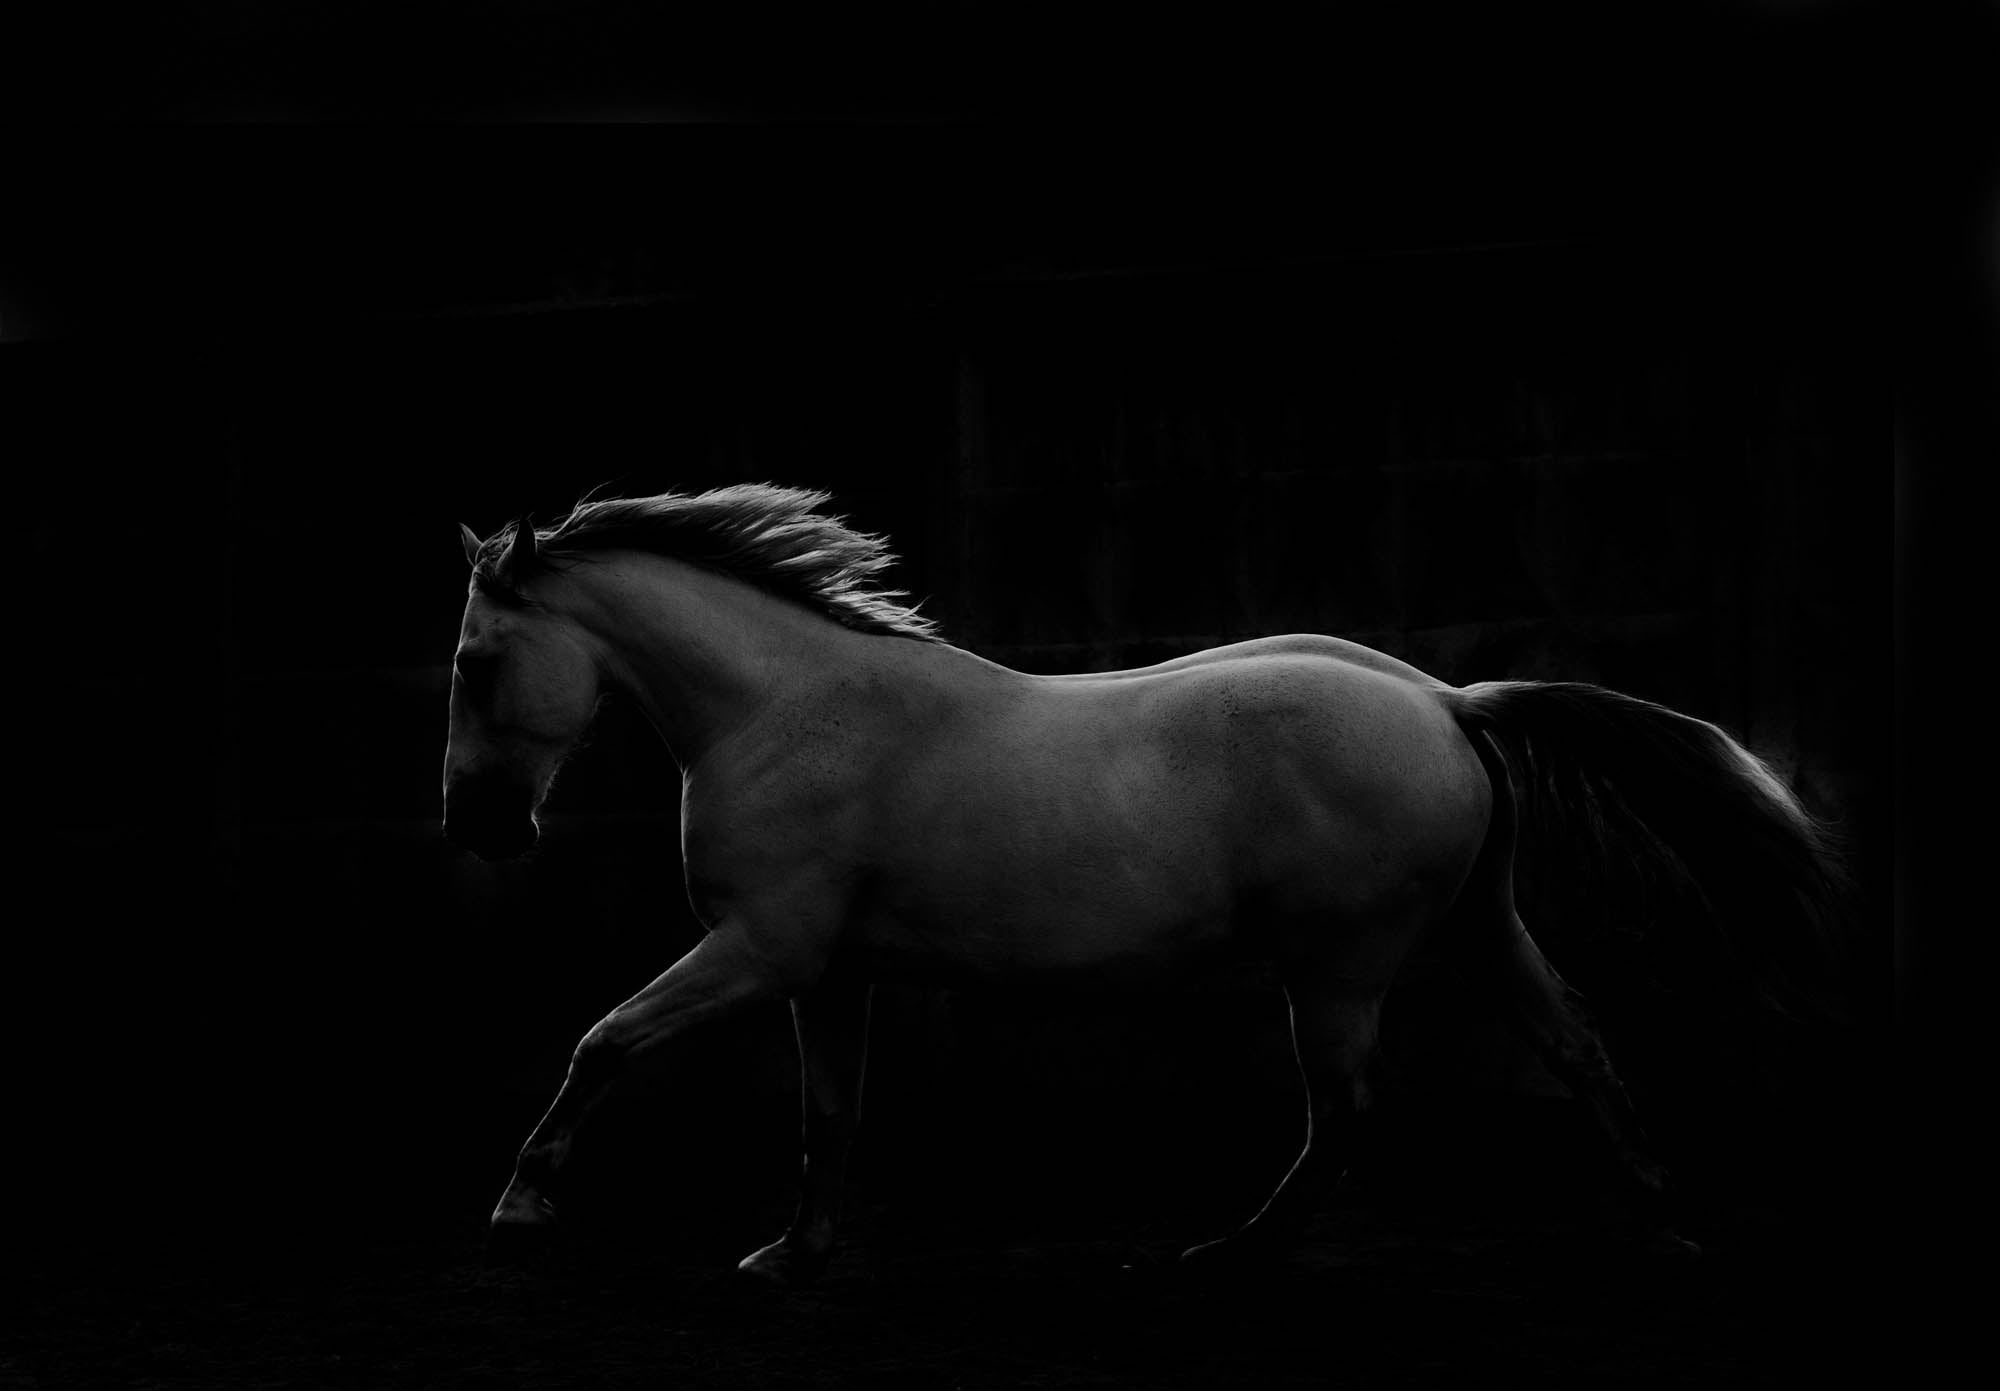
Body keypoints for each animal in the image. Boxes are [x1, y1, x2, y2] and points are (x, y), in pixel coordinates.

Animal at [441, 482, 1846, 1282]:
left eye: (472, 662)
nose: (480, 829)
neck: (786, 710)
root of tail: (1444, 702)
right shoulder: (826, 971)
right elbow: (826, 1115)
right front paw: (791, 1251)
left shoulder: (762, 947)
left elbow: (602, 1039)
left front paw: (519, 1205)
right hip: (1476, 930)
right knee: (1578, 1049)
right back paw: (1666, 1219)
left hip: (1336, 968)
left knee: (1343, 1114)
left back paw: (1221, 1249)